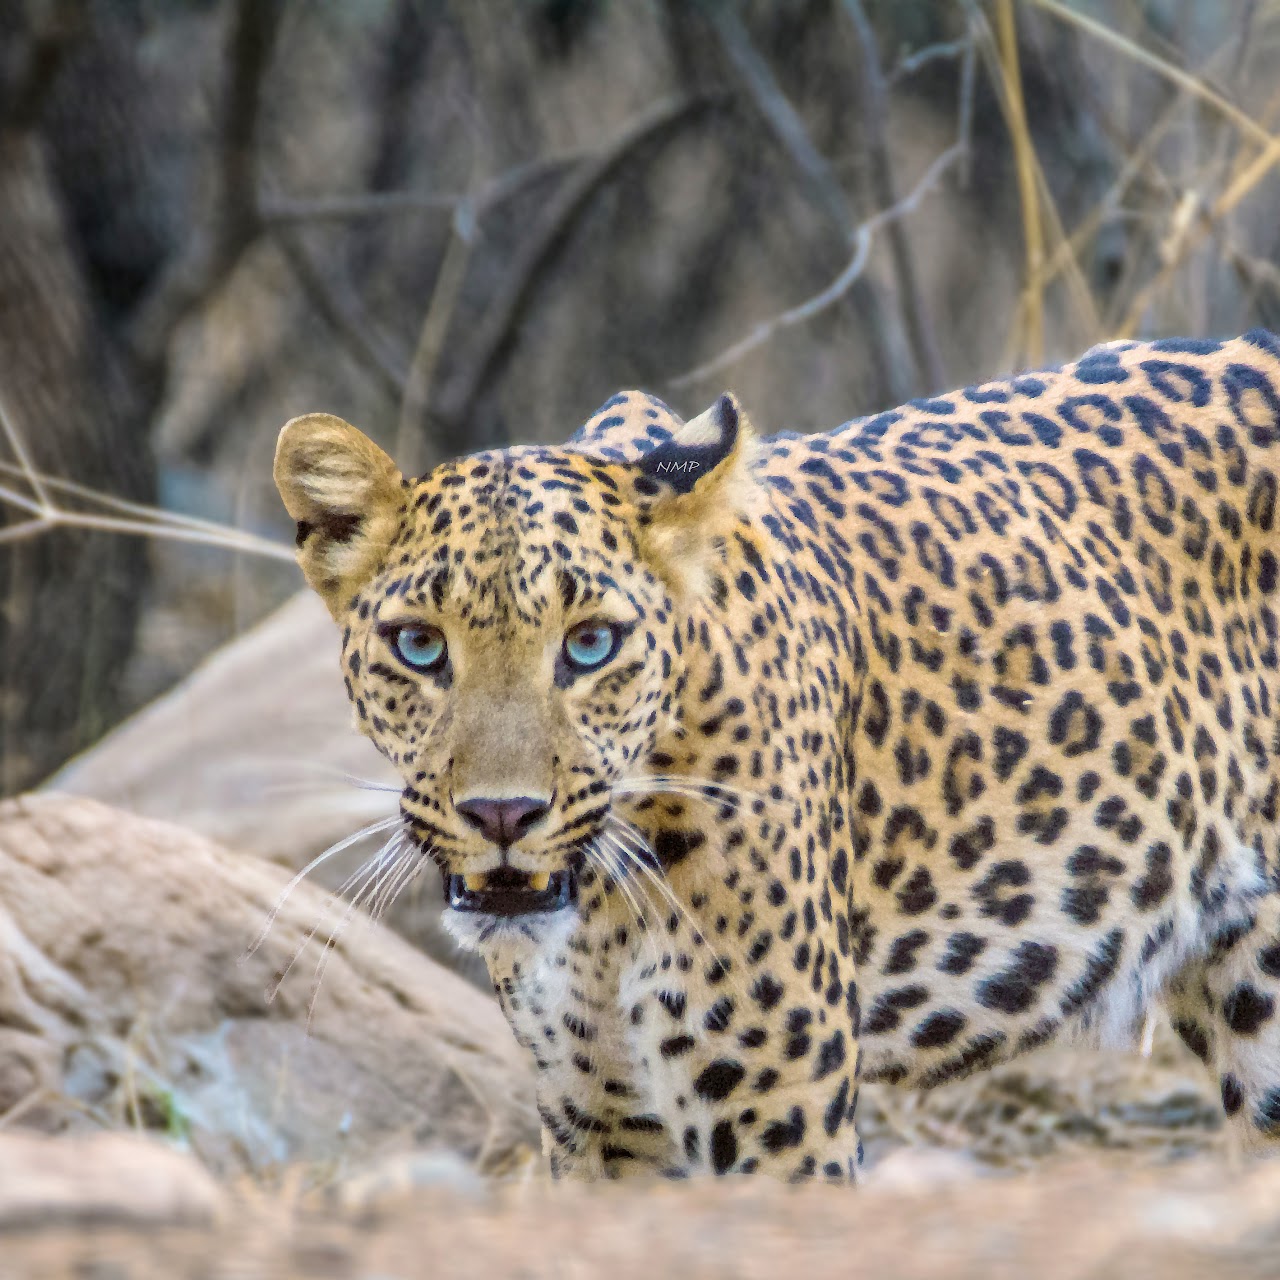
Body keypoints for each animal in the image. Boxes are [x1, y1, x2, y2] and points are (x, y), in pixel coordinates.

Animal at [275, 330, 1280, 1183]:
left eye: (591, 644)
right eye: (419, 646)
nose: (502, 816)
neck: (599, 919)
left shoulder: (778, 1112)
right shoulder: (599, 1123)